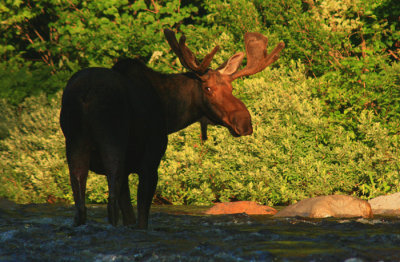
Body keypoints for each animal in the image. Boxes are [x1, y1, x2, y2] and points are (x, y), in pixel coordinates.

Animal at [60, 29, 284, 229]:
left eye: (231, 88)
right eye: (207, 88)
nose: (245, 122)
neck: (170, 114)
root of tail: (86, 95)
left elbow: (130, 216)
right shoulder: (150, 160)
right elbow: (141, 217)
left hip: (75, 146)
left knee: (80, 206)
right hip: (112, 142)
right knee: (110, 203)